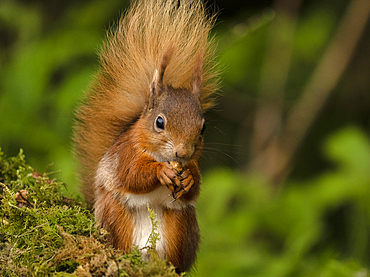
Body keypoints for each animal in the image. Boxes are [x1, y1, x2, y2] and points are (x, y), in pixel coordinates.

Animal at [74, 0, 220, 272]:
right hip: (116, 215)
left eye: (203, 128)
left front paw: (189, 179)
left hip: (181, 223)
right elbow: (132, 175)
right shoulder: (125, 152)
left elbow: (194, 187)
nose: (182, 152)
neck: (161, 155)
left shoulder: (194, 162)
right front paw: (161, 172)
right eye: (159, 122)